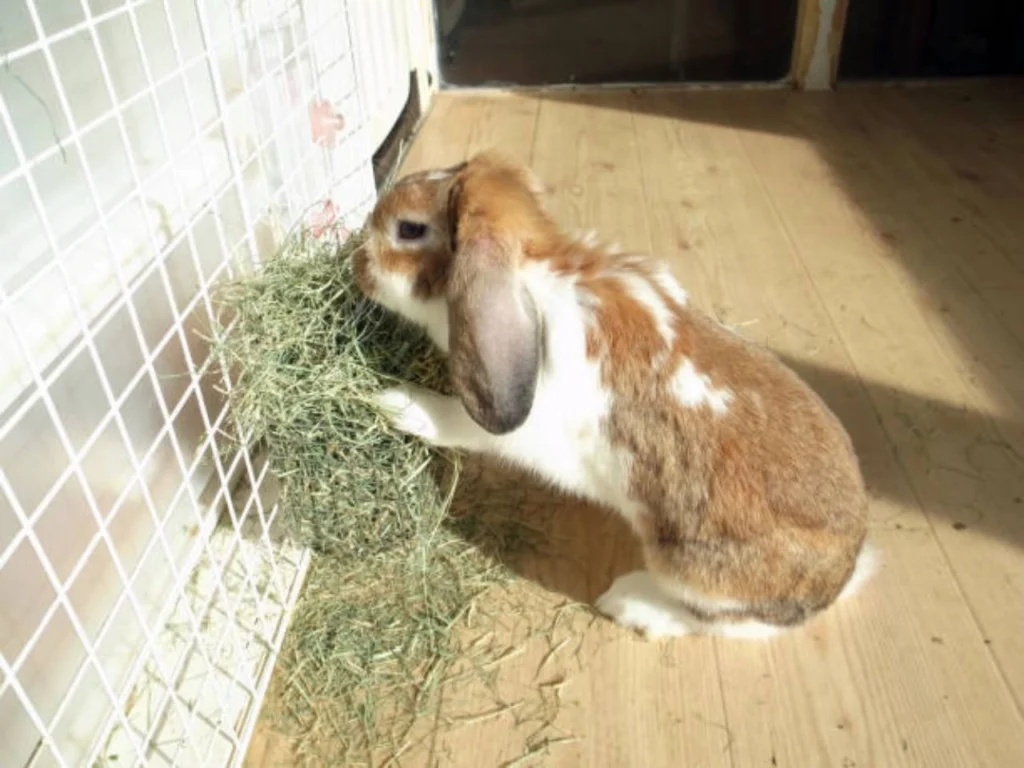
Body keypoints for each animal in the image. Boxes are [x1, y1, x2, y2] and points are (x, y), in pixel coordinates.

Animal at [352, 151, 872, 643]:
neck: (533, 276)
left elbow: (457, 422)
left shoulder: (519, 425)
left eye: (410, 229)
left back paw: (630, 603)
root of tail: (838, 578)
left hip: (687, 568)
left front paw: (395, 401)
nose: (357, 264)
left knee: (730, 624)